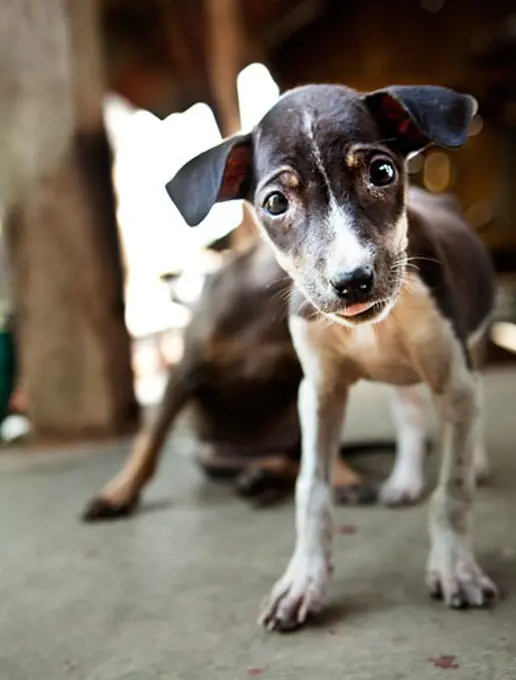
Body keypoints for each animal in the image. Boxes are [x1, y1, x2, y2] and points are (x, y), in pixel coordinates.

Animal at [164, 83, 496, 632]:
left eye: (381, 172)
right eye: (276, 202)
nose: (353, 281)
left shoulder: (453, 376)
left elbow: (453, 488)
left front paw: (455, 568)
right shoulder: (319, 392)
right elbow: (311, 493)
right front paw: (303, 582)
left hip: (469, 354)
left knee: (468, 416)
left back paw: (477, 462)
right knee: (408, 414)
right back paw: (404, 480)